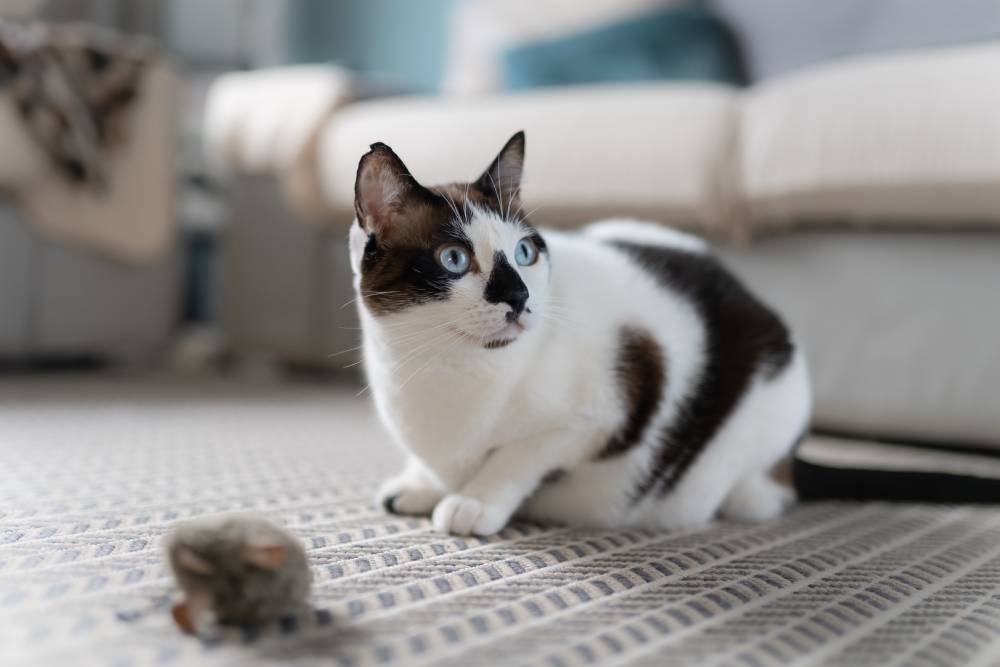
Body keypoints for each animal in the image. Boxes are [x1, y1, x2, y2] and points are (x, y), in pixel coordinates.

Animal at [348, 132, 808, 536]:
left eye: (525, 253)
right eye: (454, 259)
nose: (519, 296)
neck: (445, 364)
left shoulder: (597, 416)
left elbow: (517, 457)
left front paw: (473, 501)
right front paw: (421, 485)